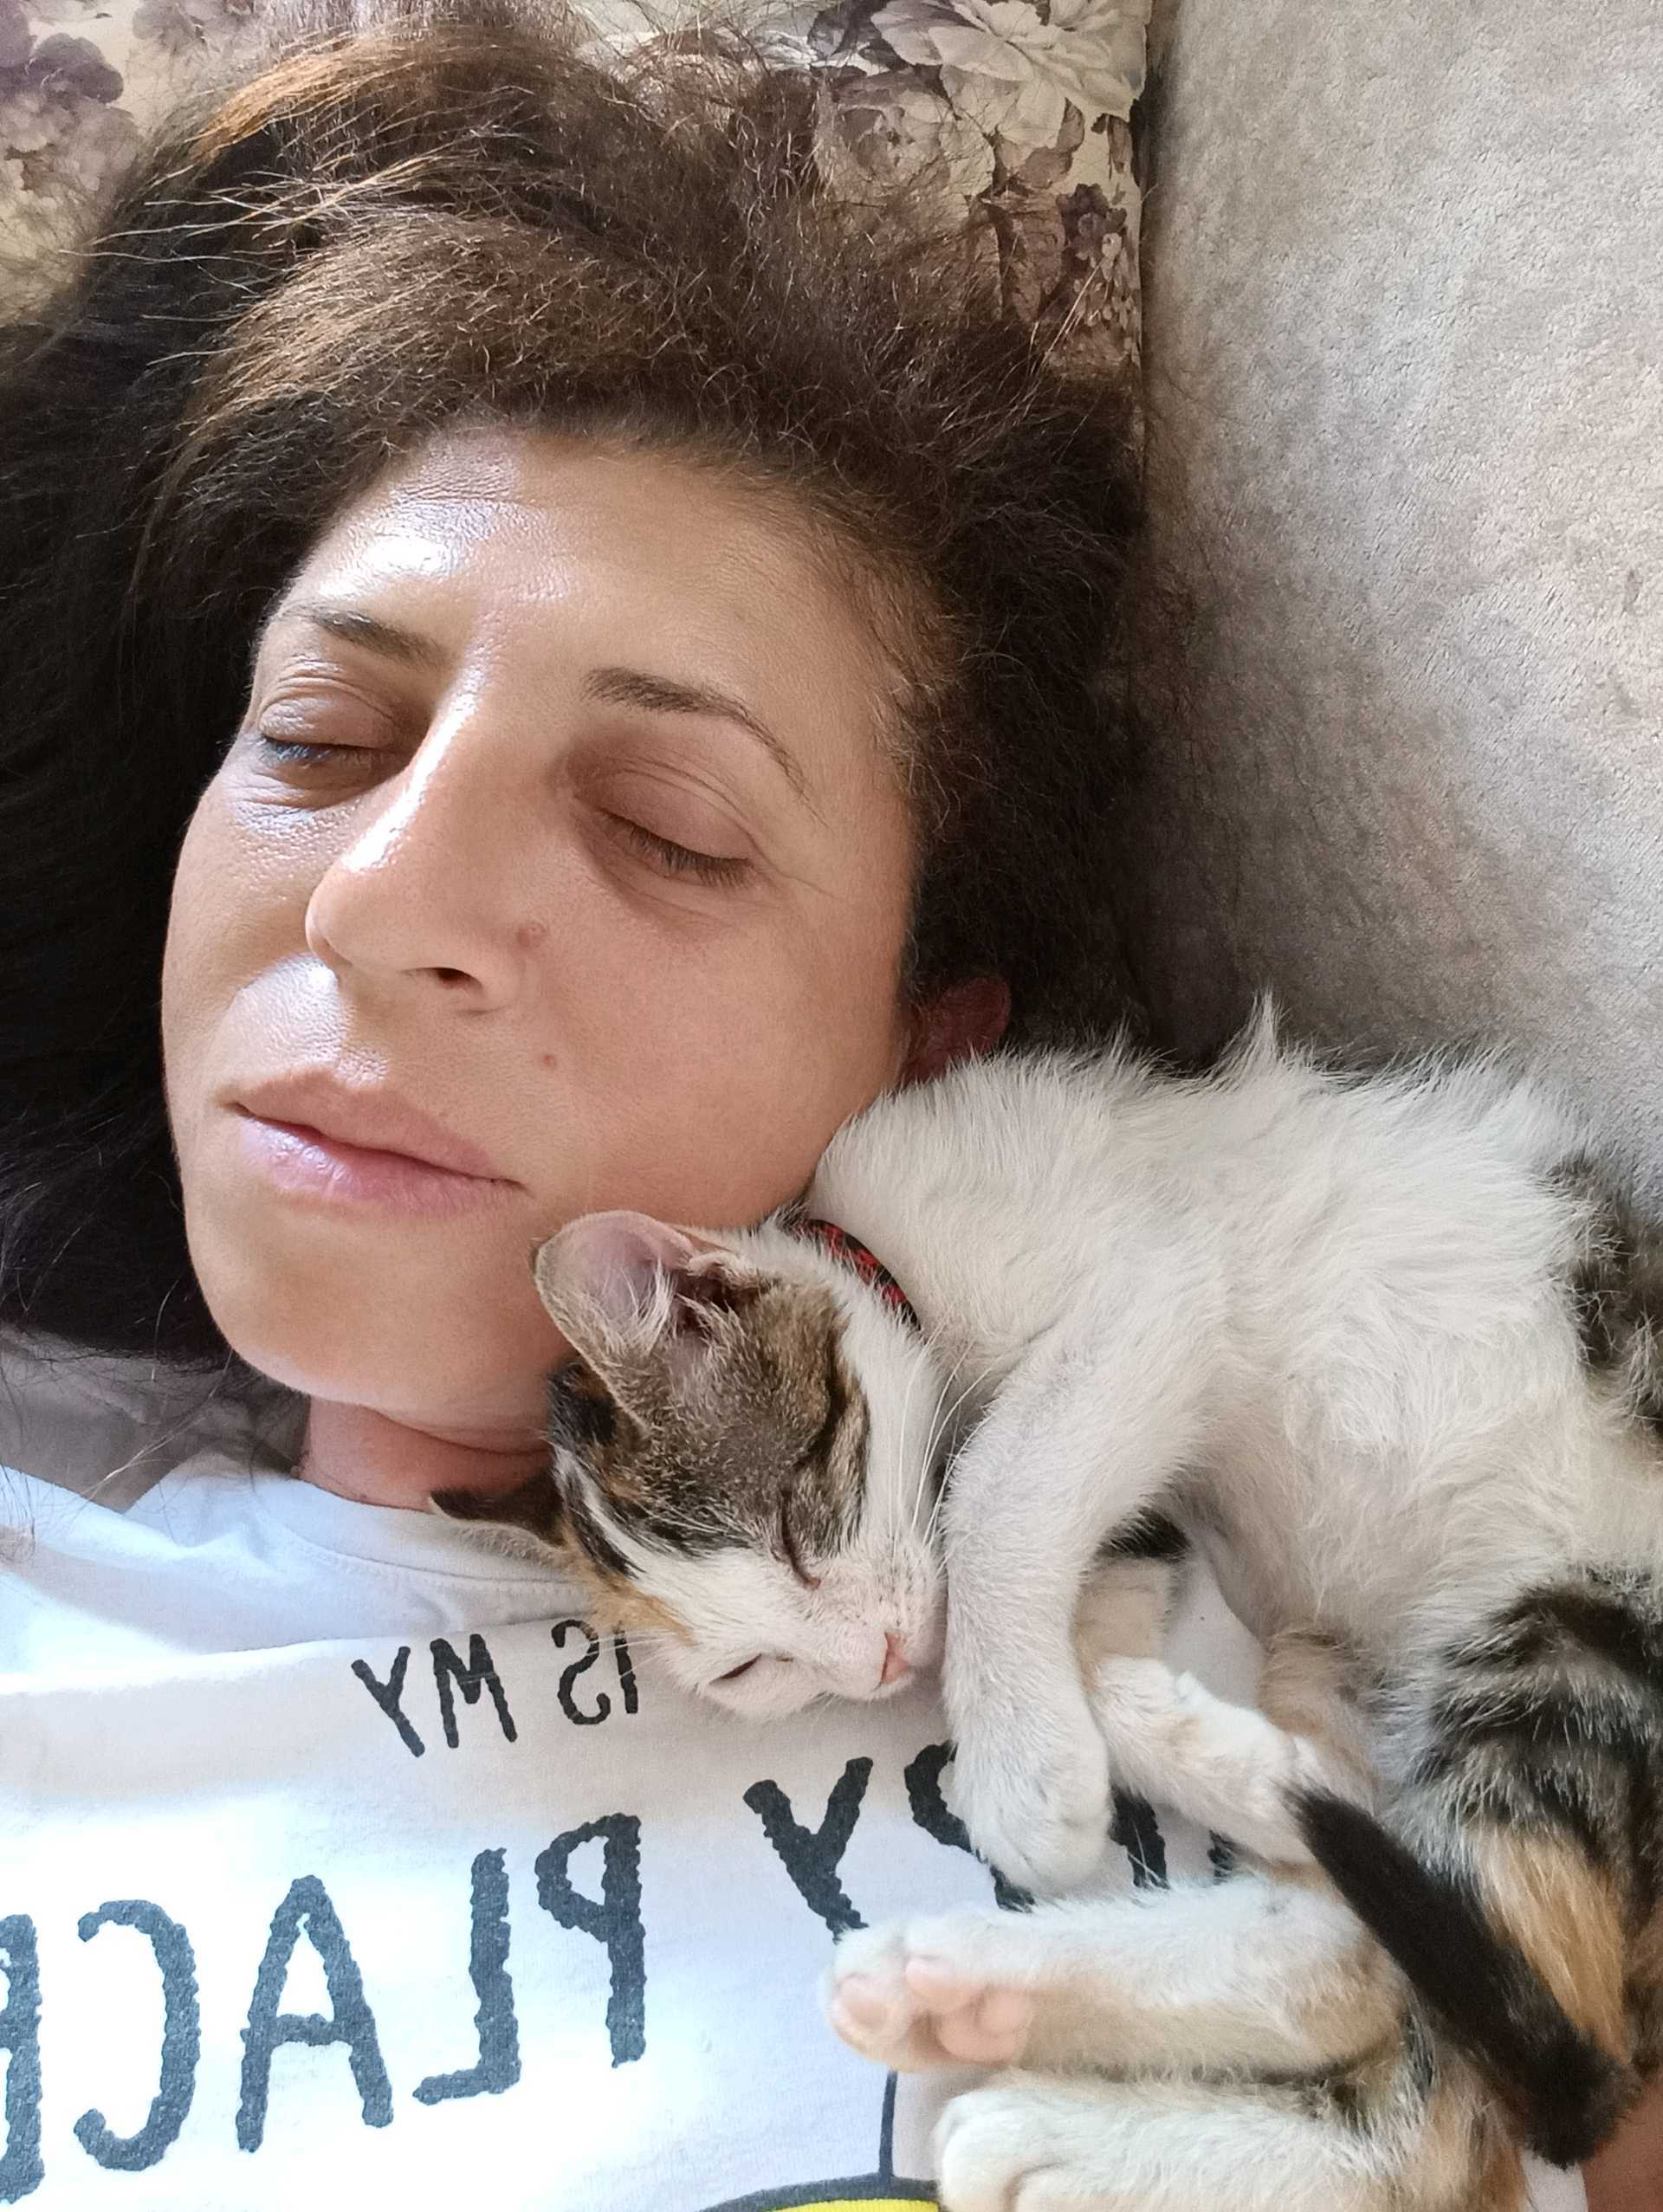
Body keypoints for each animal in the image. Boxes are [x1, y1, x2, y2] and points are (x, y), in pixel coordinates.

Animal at [436, 1012, 1663, 2208]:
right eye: (751, 1673)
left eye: (793, 1521)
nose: (877, 1659)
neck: (899, 1262)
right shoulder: (1148, 1510)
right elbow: (1092, 1592)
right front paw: (1132, 1724)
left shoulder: (1151, 1285)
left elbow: (998, 1482)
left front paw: (1025, 1765)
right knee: (1358, 1937)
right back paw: (994, 1990)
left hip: (1583, 1638)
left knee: (1487, 1996)